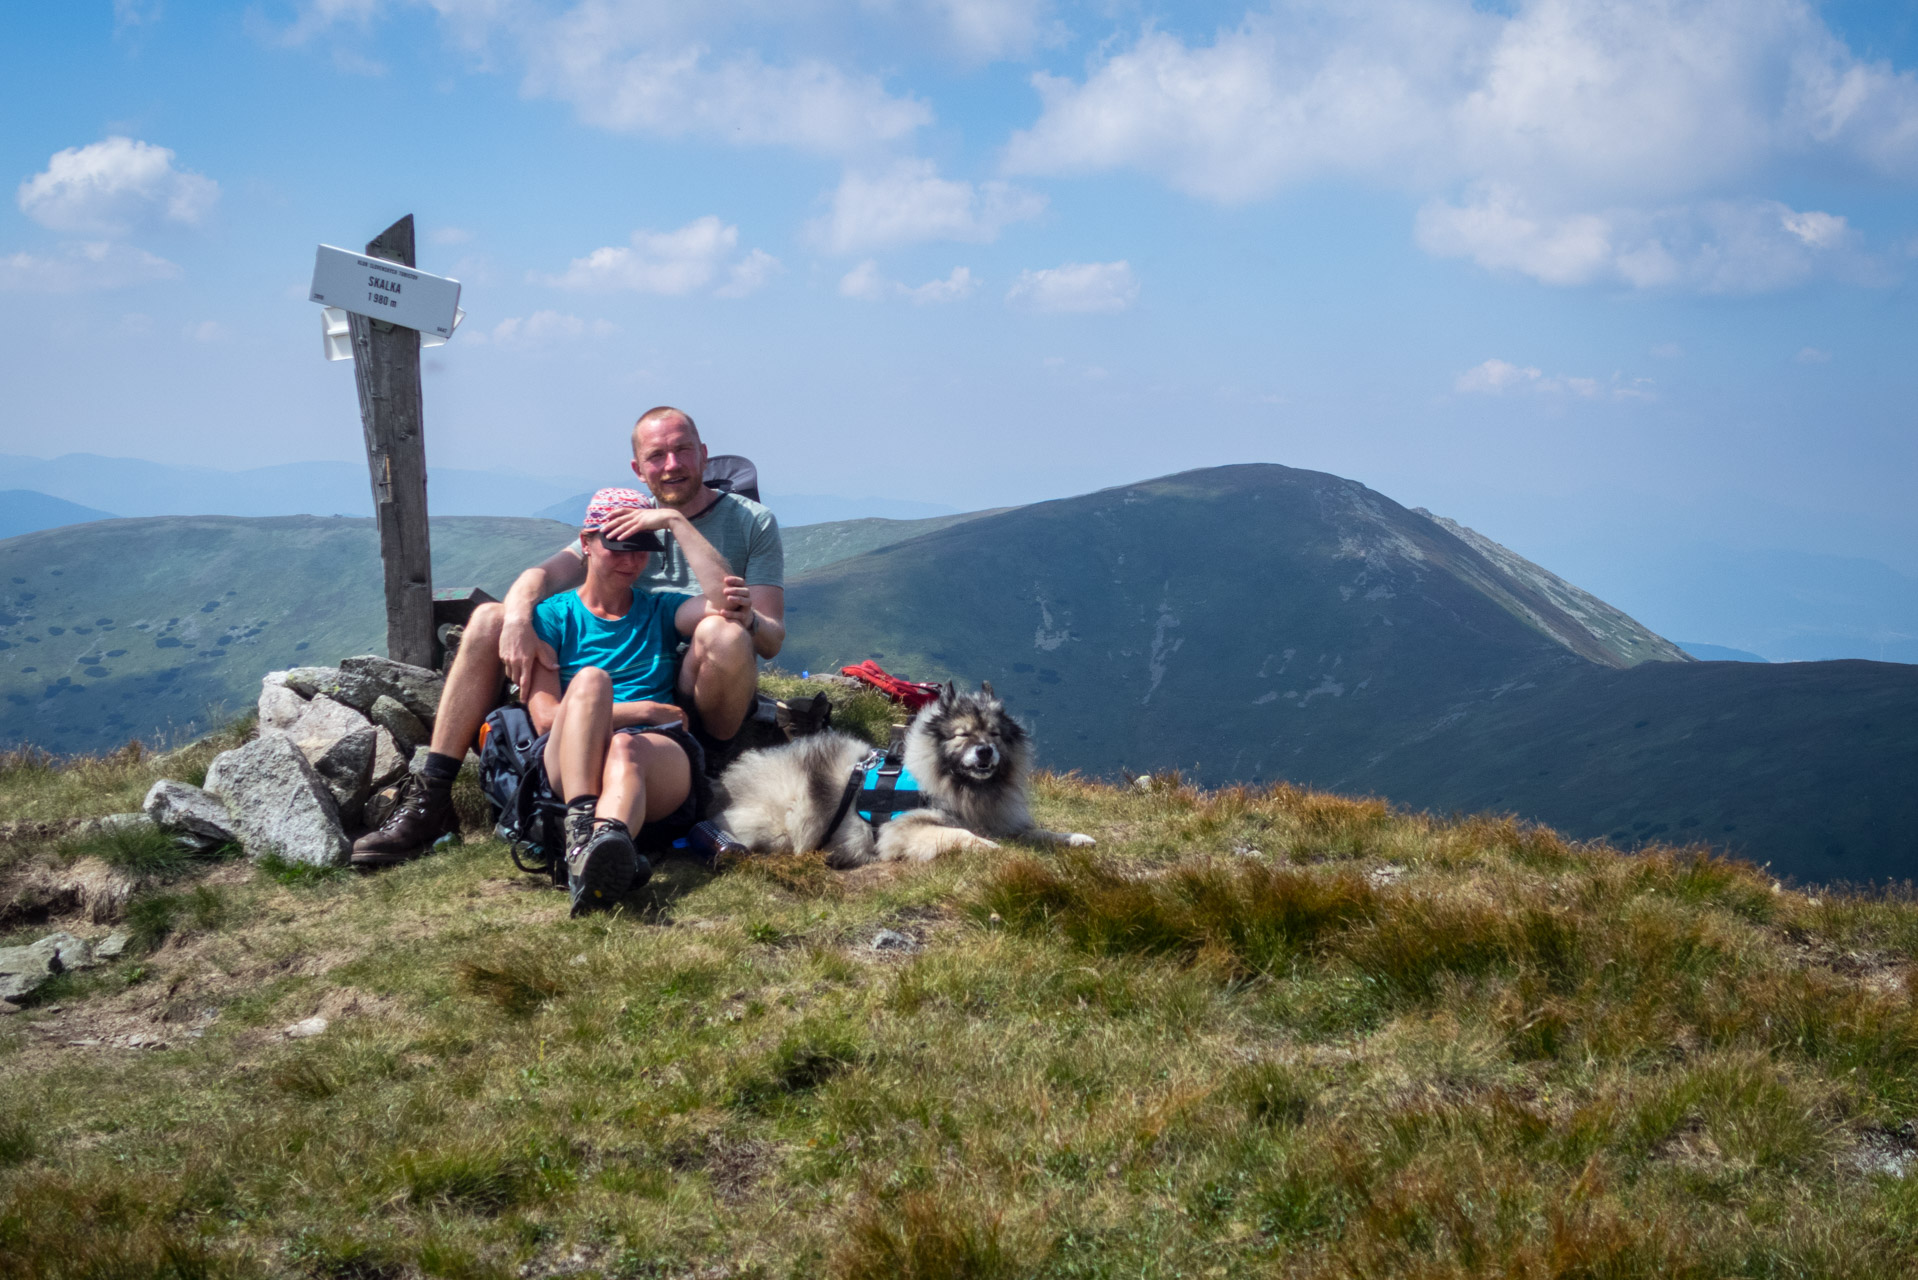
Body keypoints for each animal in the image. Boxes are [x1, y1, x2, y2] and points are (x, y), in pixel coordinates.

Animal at [713, 679, 1097, 871]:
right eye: (962, 735)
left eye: (995, 734)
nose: (985, 752)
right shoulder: (903, 831)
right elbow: (961, 834)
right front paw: (989, 847)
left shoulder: (1001, 819)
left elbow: (1039, 832)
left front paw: (1074, 838)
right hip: (788, 820)